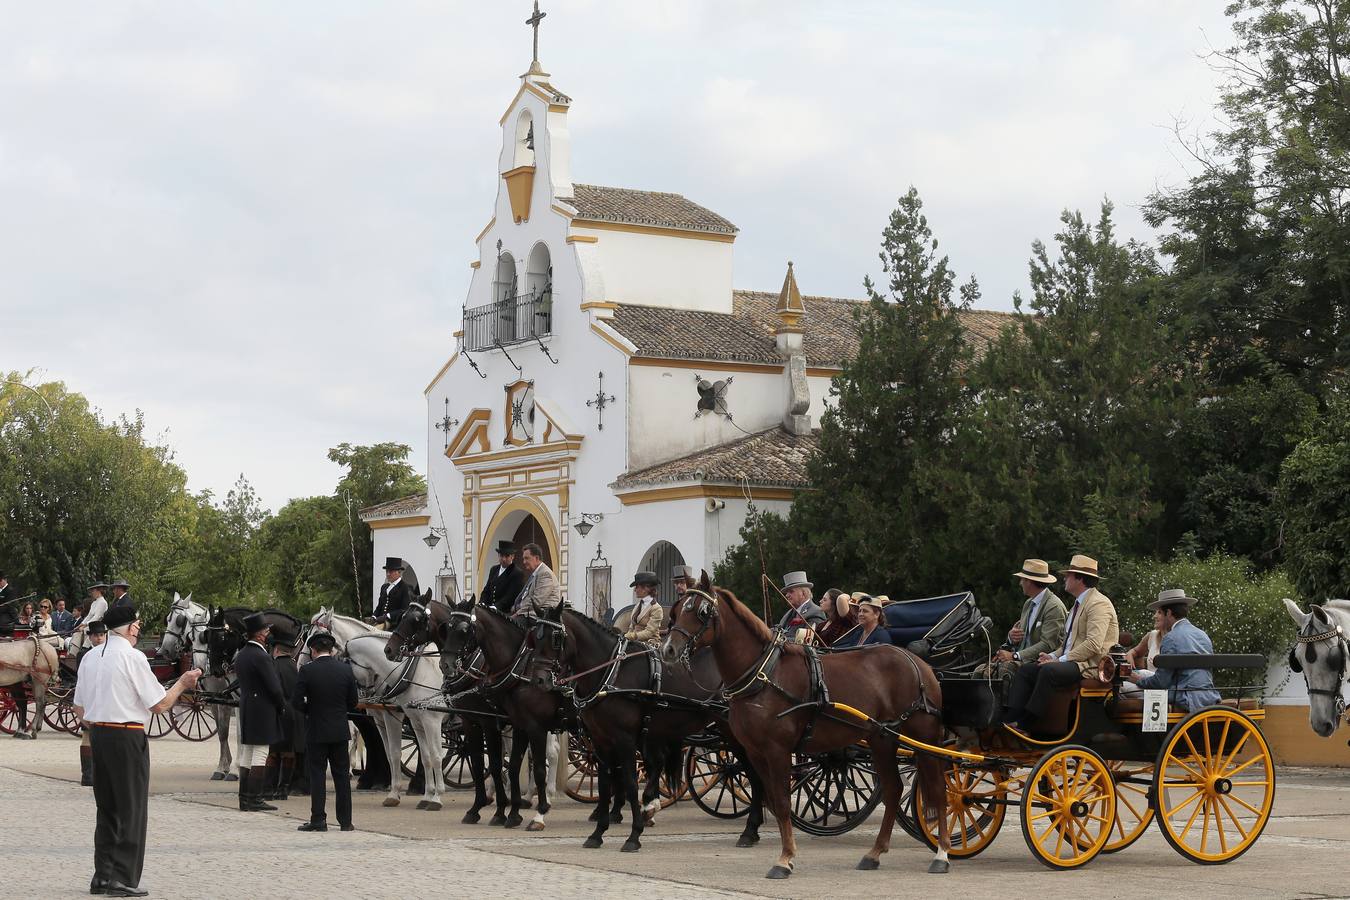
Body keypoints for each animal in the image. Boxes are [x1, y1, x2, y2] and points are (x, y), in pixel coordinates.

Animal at [159, 593, 238, 777]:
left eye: (179, 621)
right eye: (167, 619)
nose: (164, 650)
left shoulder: (230, 697)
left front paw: (232, 768)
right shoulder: (216, 698)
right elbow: (222, 732)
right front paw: (222, 767)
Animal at [307, 612, 448, 809]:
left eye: (316, 635)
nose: (301, 664)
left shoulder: (415, 718)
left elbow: (429, 755)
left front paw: (434, 797)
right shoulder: (385, 718)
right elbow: (392, 752)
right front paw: (391, 790)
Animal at [661, 585, 955, 879]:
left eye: (701, 611)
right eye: (677, 611)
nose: (668, 650)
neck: (764, 675)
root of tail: (916, 661)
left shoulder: (777, 750)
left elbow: (782, 801)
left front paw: (784, 859)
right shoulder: (755, 751)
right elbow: (771, 798)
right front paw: (780, 851)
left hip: (924, 735)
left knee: (939, 789)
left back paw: (941, 853)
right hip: (882, 738)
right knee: (894, 789)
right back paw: (874, 853)